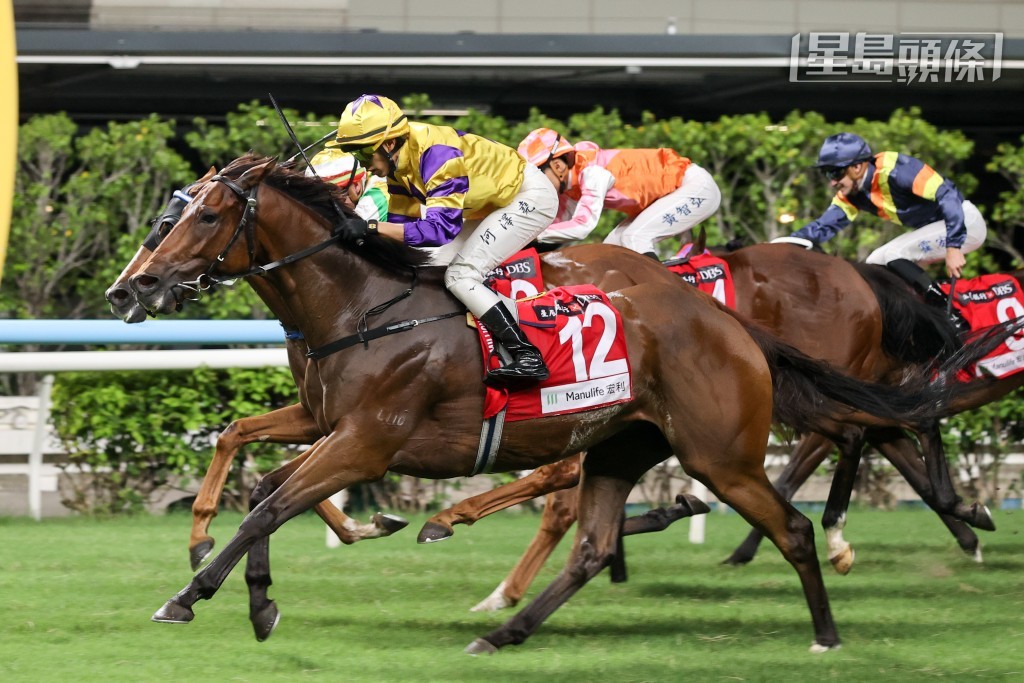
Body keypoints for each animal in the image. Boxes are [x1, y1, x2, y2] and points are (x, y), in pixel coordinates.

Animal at [124, 153, 965, 652]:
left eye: (202, 215)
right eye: (171, 212)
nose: (133, 287)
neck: (363, 303)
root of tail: (729, 326)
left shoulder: (365, 440)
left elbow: (271, 501)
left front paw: (190, 594)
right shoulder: (329, 423)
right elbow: (254, 466)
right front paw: (254, 593)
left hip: (718, 452)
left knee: (797, 510)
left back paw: (827, 624)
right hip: (623, 445)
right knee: (591, 543)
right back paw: (508, 628)